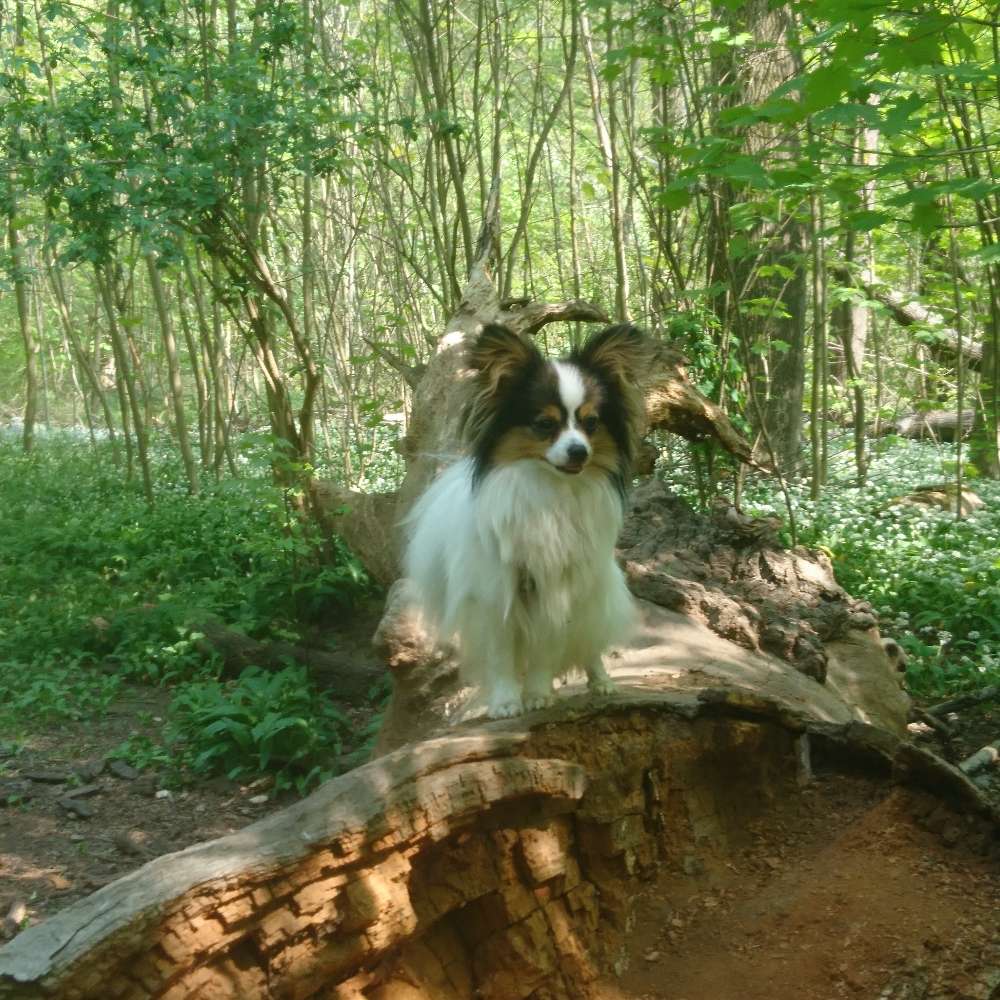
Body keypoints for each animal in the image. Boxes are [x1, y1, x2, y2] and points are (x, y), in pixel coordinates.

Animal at [404, 322, 648, 720]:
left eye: (591, 423)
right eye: (544, 424)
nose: (579, 451)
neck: (550, 490)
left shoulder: (557, 588)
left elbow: (546, 650)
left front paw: (537, 693)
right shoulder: (496, 594)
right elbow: (502, 655)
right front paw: (506, 701)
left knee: (590, 641)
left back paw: (600, 681)